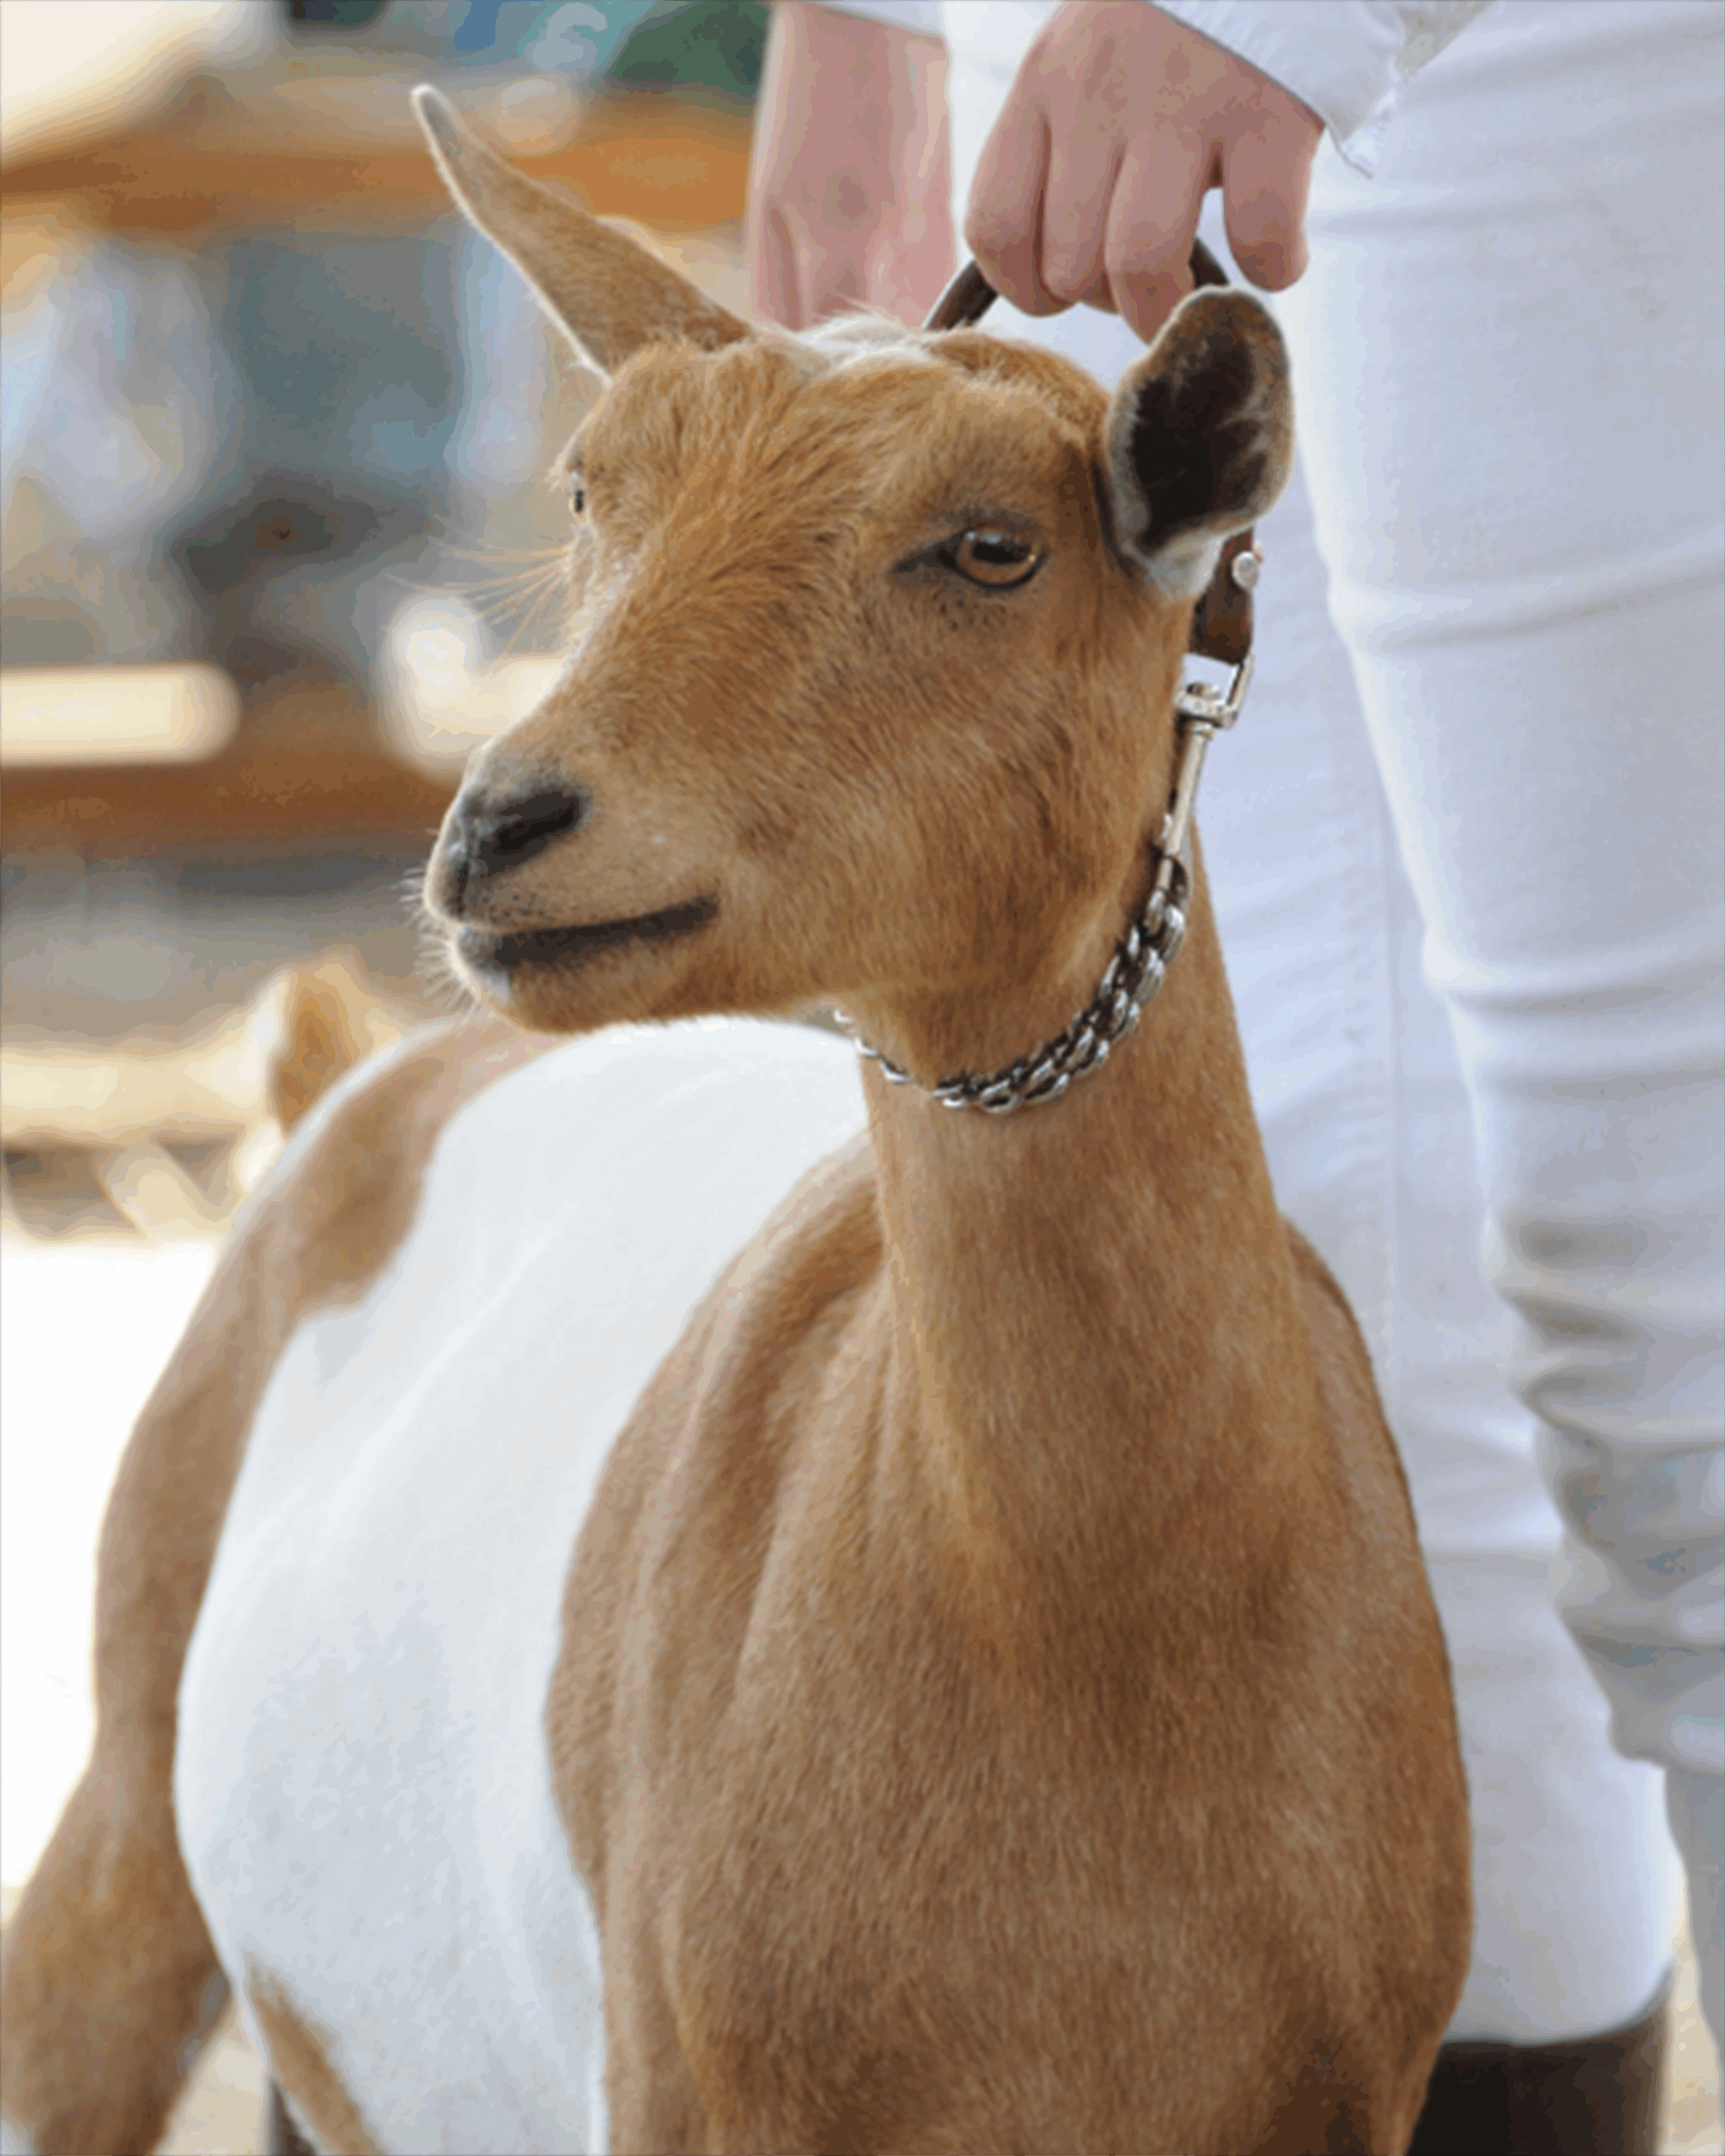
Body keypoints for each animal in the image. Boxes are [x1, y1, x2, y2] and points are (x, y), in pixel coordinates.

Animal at [0, 91, 1469, 2156]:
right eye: (587, 492)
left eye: (989, 547)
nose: (501, 827)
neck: (1093, 1640)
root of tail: (354, 1078)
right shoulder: (688, 2083)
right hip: (126, 1788)